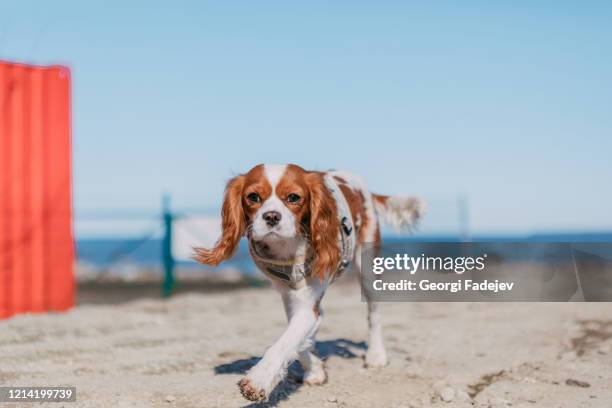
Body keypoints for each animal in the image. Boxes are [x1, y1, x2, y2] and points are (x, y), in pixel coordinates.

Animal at [194, 163, 424, 402]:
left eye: (294, 197)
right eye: (253, 197)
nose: (271, 216)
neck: (288, 249)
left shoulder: (307, 303)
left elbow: (284, 342)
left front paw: (259, 380)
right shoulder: (290, 295)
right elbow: (299, 336)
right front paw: (315, 369)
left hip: (367, 265)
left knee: (374, 314)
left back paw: (376, 355)